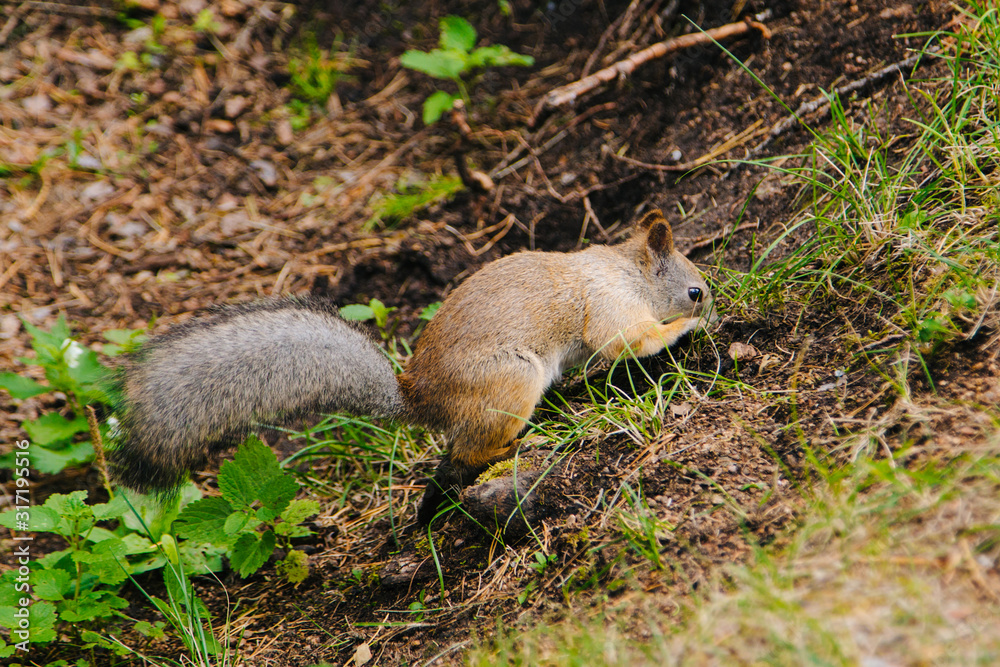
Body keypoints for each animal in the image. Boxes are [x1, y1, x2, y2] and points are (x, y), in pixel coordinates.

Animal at [108, 208, 713, 525]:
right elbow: (629, 341)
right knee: (471, 452)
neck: (625, 270)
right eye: (694, 290)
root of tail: (420, 397)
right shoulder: (610, 305)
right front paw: (684, 329)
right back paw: (514, 445)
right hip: (512, 379)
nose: (711, 301)